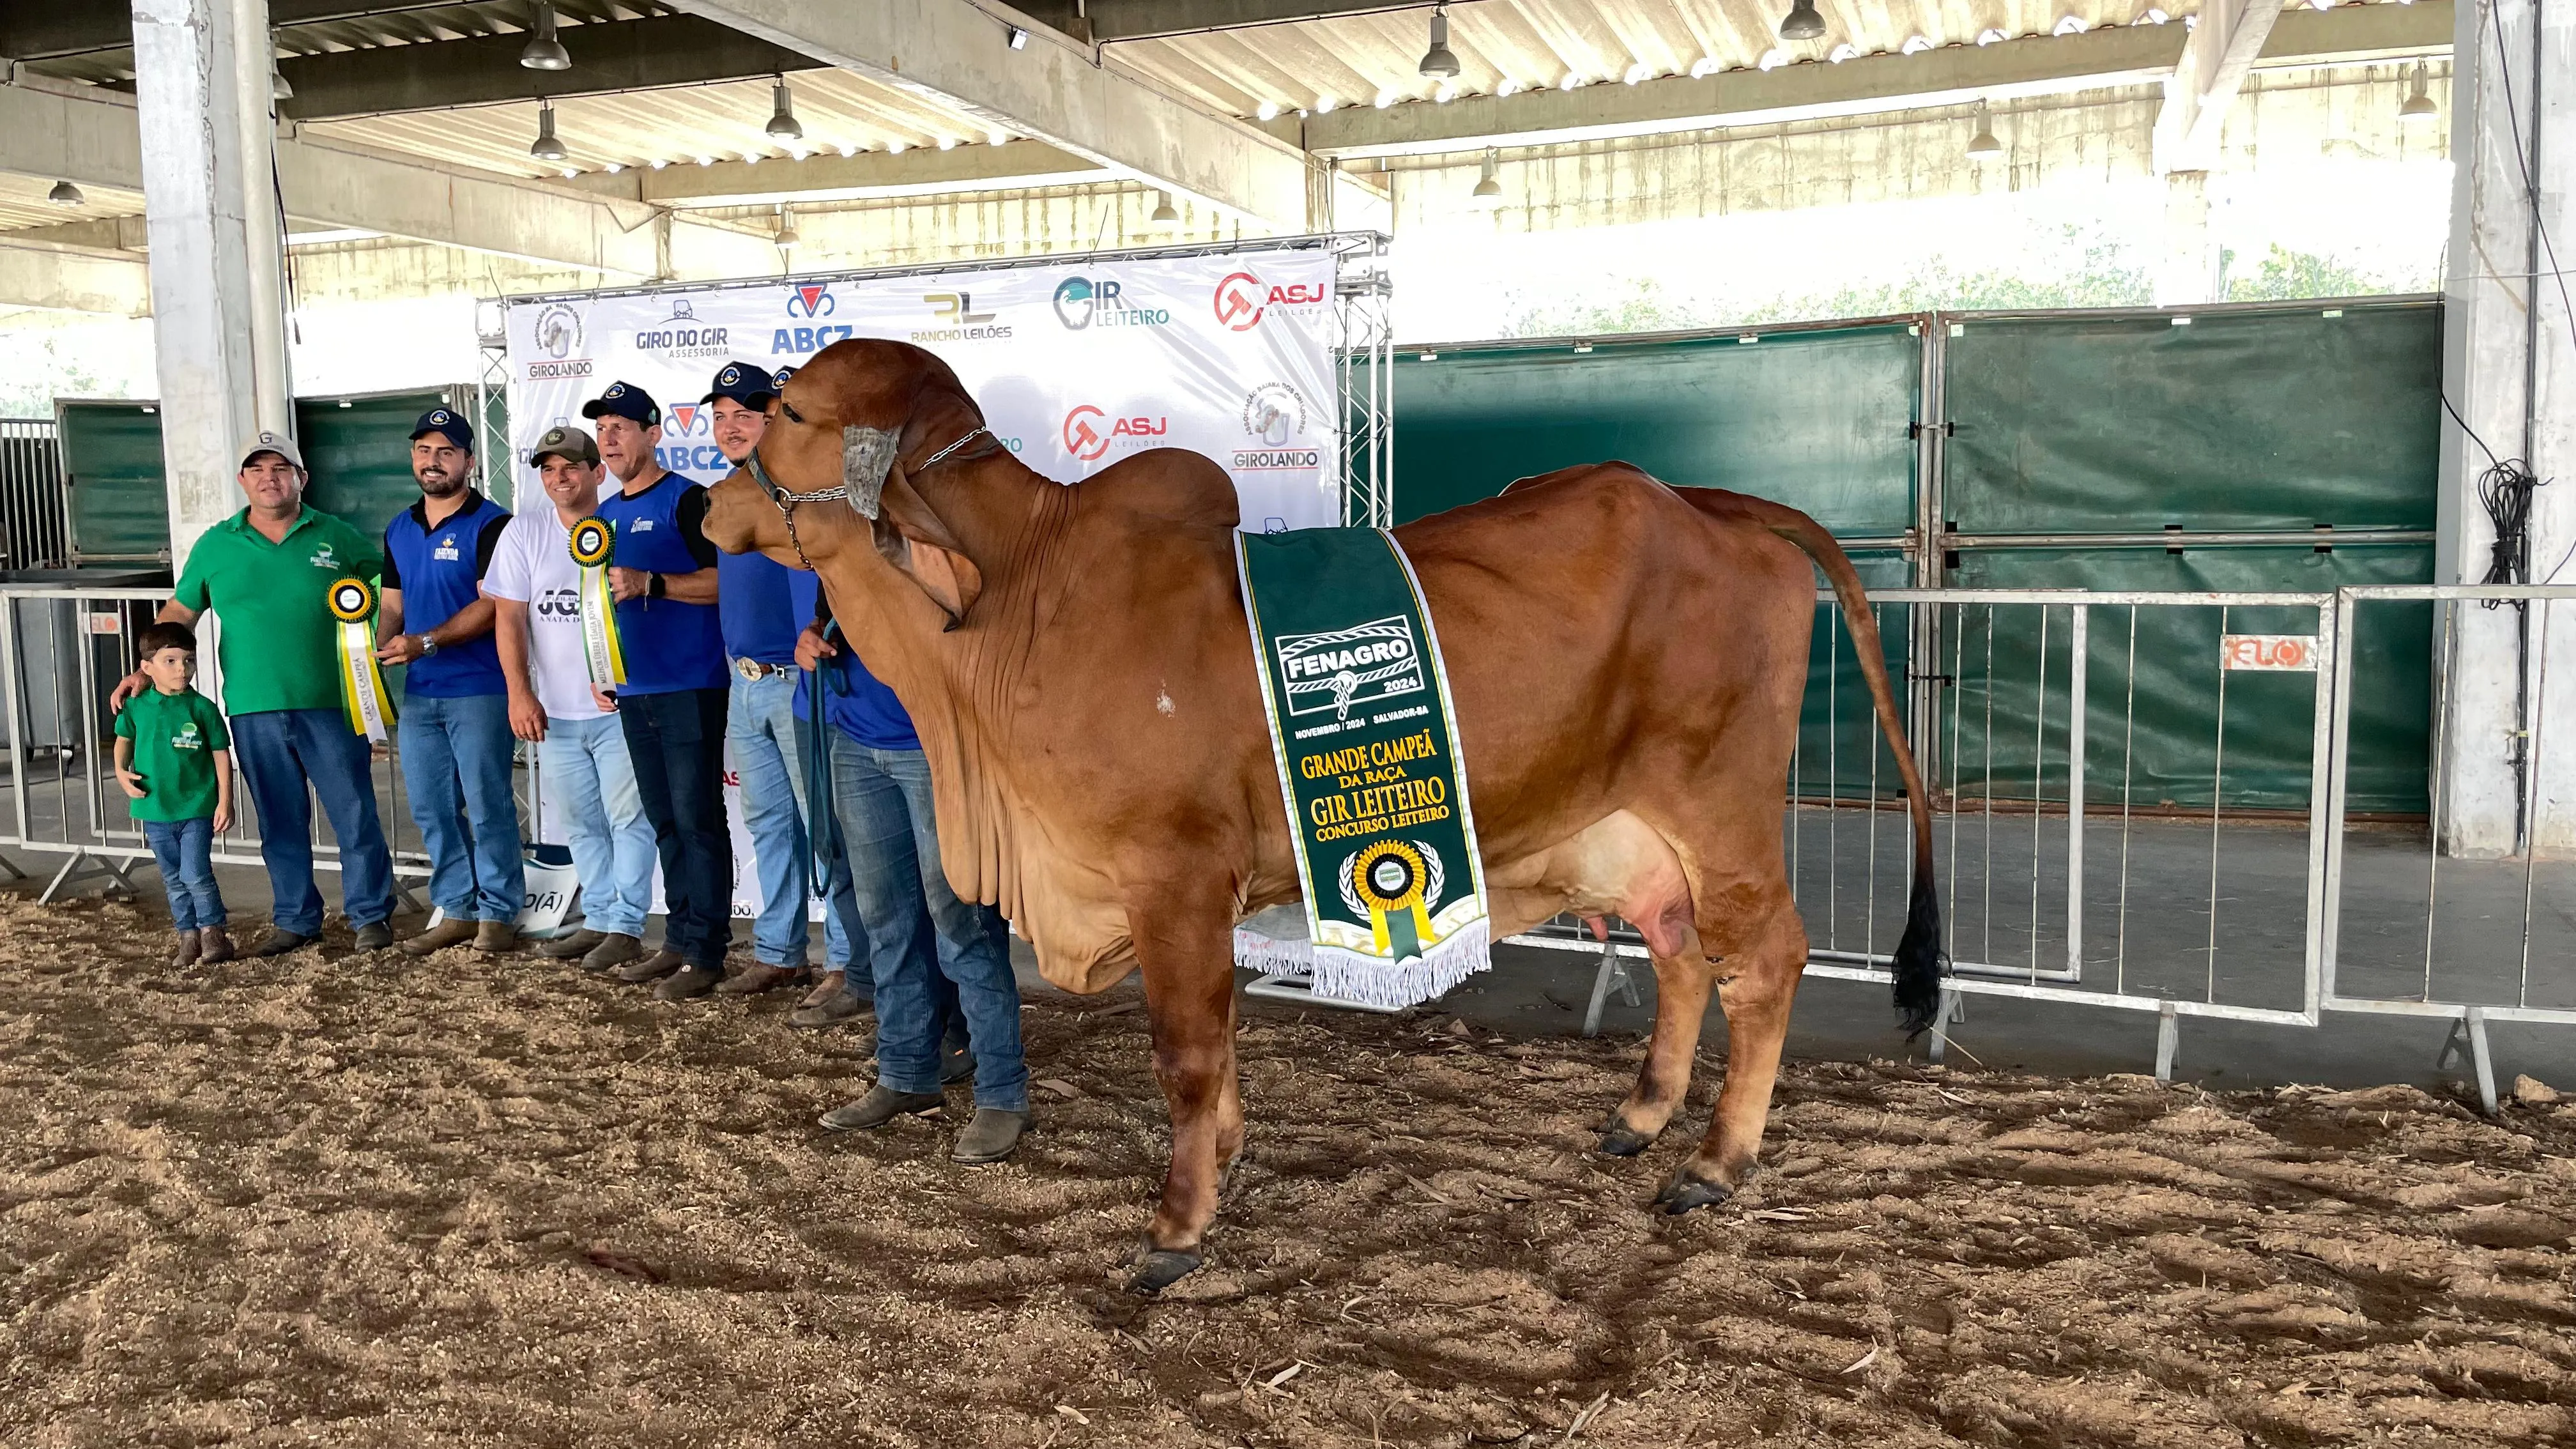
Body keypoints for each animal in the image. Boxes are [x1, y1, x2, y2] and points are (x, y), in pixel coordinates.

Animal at [695, 337, 1937, 1284]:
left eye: (791, 409)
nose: (707, 498)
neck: (1018, 605)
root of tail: (1704, 503)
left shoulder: (1172, 875)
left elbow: (1187, 1050)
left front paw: (1177, 1228)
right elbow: (1221, 1037)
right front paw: (1229, 1161)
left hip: (1722, 803)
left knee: (1764, 958)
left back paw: (1716, 1163)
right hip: (1633, 826)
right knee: (1679, 949)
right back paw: (1639, 1119)